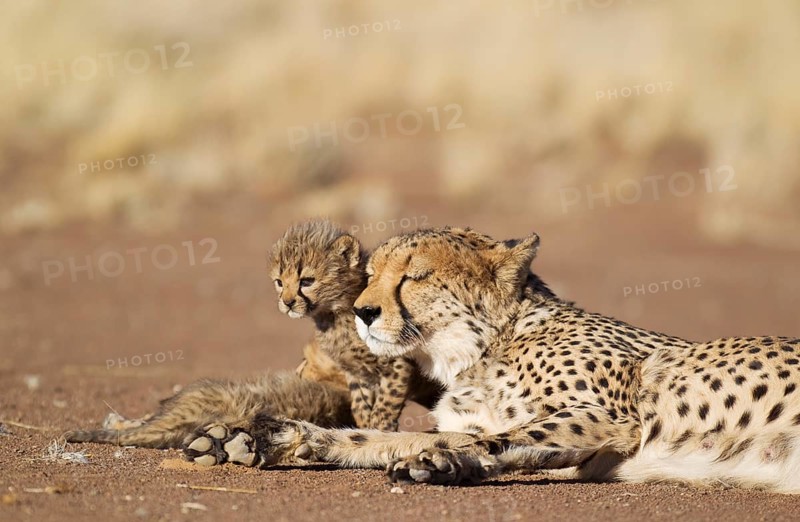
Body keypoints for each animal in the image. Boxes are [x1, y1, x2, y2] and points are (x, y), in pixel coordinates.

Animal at [182, 226, 800, 494]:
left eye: (414, 276)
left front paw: (441, 461)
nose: (362, 311)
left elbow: (496, 439)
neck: (478, 349)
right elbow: (380, 439)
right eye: (371, 271)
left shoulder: (610, 418)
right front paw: (257, 436)